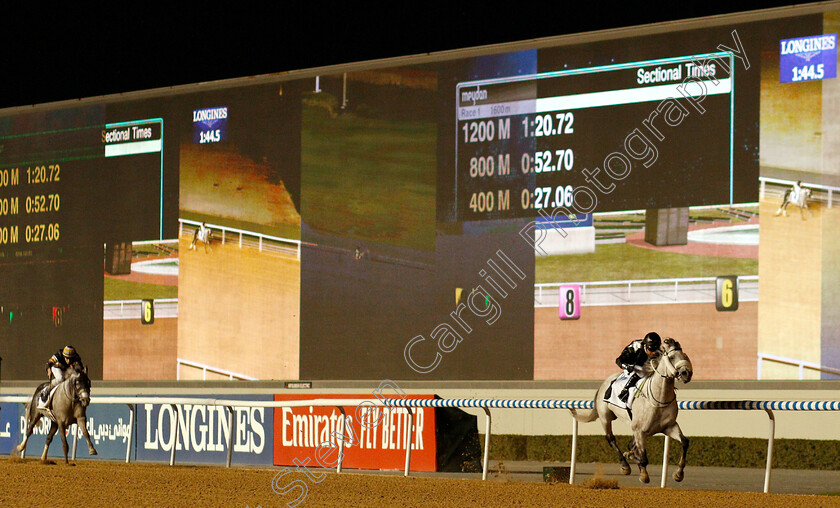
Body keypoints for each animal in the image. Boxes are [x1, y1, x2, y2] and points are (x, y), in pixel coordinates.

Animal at [572, 340, 696, 482]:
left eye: (685, 355)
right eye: (671, 357)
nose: (686, 373)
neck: (659, 399)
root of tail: (605, 382)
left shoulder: (669, 427)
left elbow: (685, 442)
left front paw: (678, 474)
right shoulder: (639, 430)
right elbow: (643, 458)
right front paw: (642, 473)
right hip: (605, 418)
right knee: (611, 439)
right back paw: (625, 465)